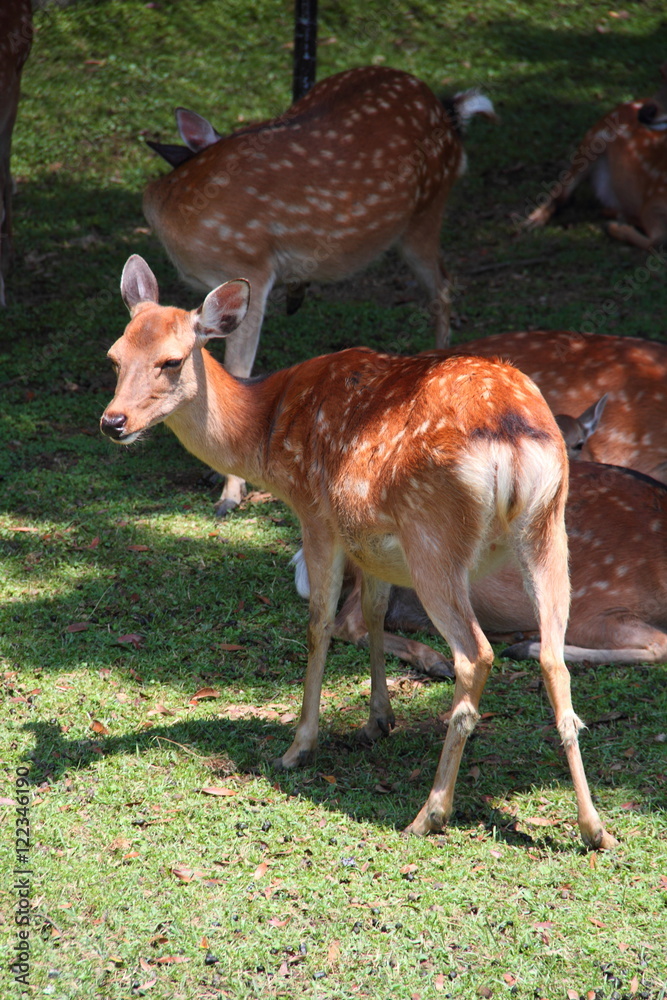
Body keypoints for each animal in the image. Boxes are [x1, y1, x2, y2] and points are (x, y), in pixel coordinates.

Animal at [100, 255, 617, 851]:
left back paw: (430, 813)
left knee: (477, 655)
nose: (113, 421)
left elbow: (319, 623)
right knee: (554, 657)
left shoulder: (318, 514)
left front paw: (299, 745)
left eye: (172, 360)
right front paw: (378, 720)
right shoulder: (370, 540)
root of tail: (510, 438)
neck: (266, 432)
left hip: (435, 536)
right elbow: (371, 614)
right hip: (547, 527)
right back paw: (594, 828)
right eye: (114, 355)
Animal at [143, 65, 496, 514]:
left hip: (425, 212)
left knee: (443, 288)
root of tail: (449, 114)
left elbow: (239, 368)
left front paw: (230, 494)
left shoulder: (251, 268)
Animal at [524, 65, 667, 248]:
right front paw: (611, 228)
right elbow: (656, 241)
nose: (645, 113)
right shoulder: (653, 203)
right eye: (661, 73)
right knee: (561, 192)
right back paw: (531, 222)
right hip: (592, 140)